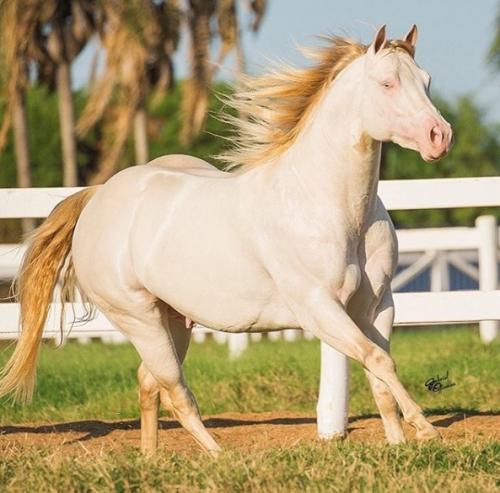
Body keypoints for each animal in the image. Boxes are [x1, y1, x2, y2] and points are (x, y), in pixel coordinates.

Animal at [0, 25, 454, 452]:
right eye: (387, 83)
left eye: (427, 80)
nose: (440, 136)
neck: (329, 204)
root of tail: (97, 197)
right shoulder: (319, 308)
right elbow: (377, 359)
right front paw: (426, 430)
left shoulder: (376, 306)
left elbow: (380, 370)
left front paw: (398, 443)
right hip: (139, 318)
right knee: (176, 392)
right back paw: (219, 456)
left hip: (172, 320)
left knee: (149, 382)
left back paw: (150, 459)